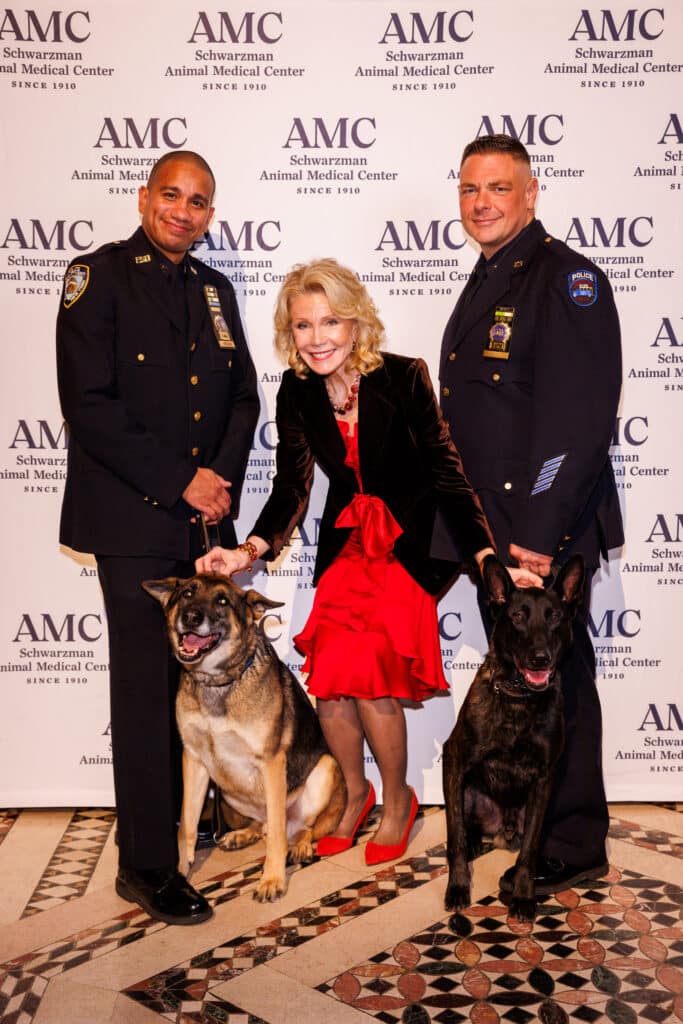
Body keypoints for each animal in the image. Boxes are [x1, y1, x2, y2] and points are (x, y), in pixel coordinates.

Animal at [144, 577, 348, 905]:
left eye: (223, 601)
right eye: (187, 593)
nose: (191, 617)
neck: (217, 682)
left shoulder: (271, 762)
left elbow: (277, 835)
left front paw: (272, 879)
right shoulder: (194, 760)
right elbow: (186, 825)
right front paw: (179, 873)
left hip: (325, 770)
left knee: (298, 828)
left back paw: (300, 845)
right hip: (227, 789)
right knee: (263, 824)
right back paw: (242, 834)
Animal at [446, 557, 585, 925]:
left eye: (554, 617)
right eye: (518, 617)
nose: (540, 658)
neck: (520, 699)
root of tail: (504, 829)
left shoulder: (544, 779)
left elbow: (530, 849)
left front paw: (523, 895)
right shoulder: (454, 762)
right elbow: (454, 836)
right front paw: (458, 887)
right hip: (468, 793)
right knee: (465, 828)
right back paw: (475, 842)